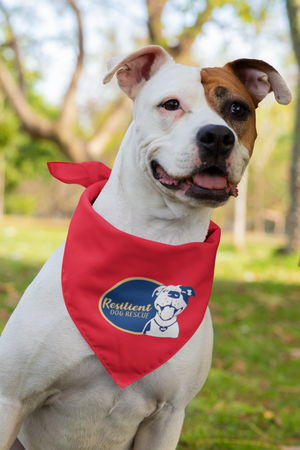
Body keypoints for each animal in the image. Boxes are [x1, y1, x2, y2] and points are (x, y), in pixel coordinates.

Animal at [0, 43, 290, 450]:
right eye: (171, 105)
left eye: (237, 110)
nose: (218, 136)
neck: (157, 238)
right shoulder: (12, 399)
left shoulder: (168, 415)